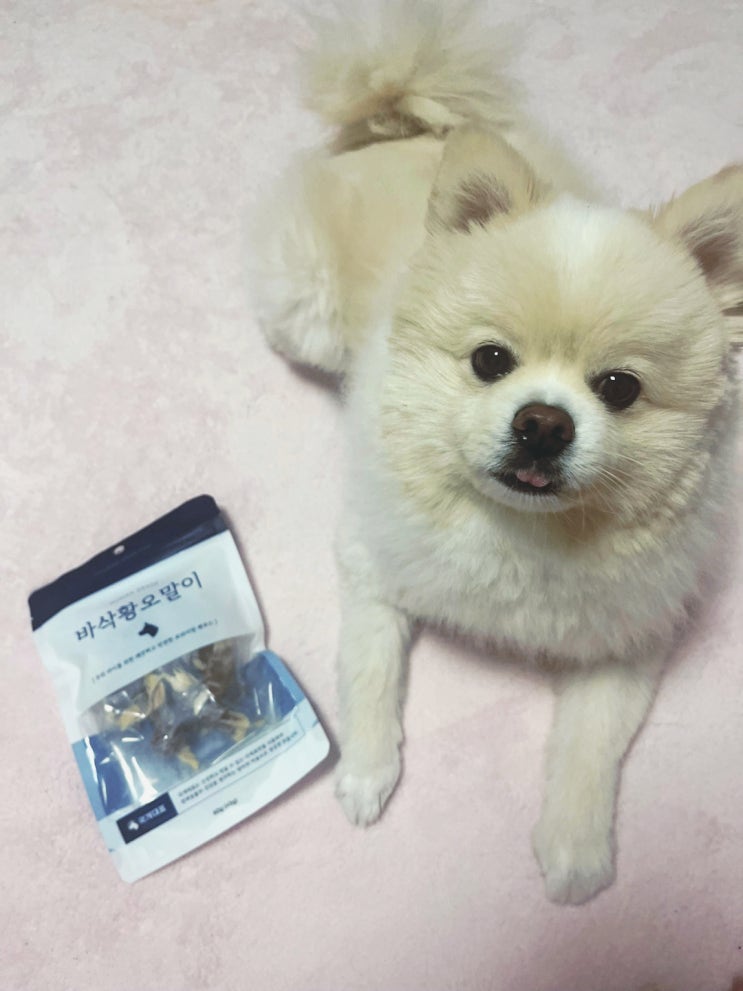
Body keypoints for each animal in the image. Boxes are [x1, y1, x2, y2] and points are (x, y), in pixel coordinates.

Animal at [251, 1, 743, 904]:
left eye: (618, 387)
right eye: (489, 361)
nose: (543, 422)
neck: (522, 529)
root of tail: (400, 125)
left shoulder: (625, 640)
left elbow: (588, 747)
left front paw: (574, 850)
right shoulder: (372, 563)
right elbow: (370, 668)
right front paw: (365, 770)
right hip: (304, 314)